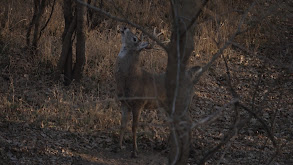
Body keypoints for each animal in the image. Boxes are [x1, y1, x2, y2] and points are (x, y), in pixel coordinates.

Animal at [114, 26, 201, 158]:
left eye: (135, 39)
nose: (124, 27)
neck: (130, 79)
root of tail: (189, 77)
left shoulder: (139, 103)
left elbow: (134, 127)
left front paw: (135, 151)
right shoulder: (124, 103)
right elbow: (122, 125)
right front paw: (118, 147)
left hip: (182, 103)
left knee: (188, 122)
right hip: (169, 107)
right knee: (175, 123)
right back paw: (167, 148)